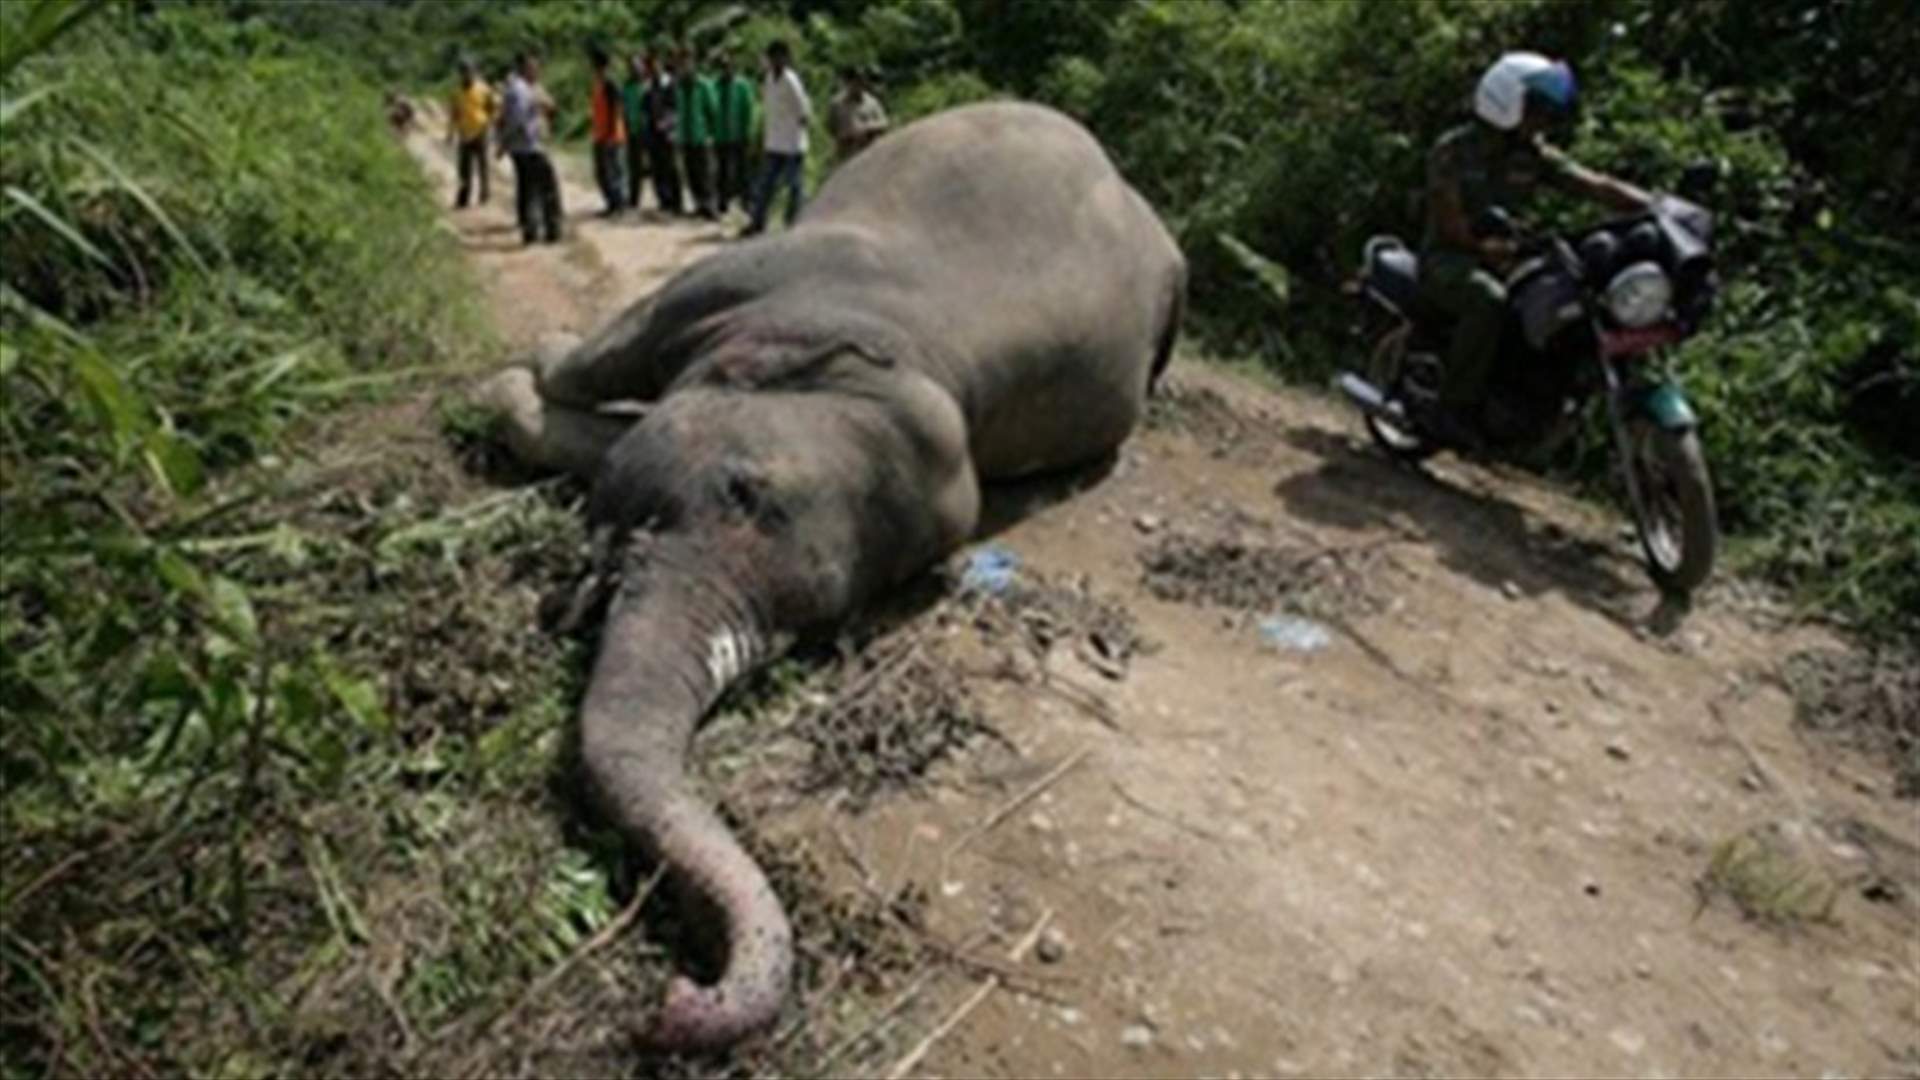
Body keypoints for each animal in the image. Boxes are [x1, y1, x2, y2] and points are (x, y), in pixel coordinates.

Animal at [478, 101, 1185, 1051]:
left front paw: (508, 389)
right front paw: (524, 366)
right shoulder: (755, 277)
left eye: (815, 632)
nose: (678, 996)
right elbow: (599, 357)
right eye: (743, 491)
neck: (912, 356)